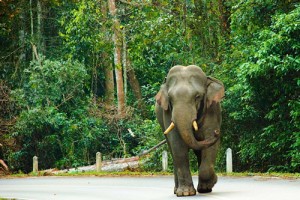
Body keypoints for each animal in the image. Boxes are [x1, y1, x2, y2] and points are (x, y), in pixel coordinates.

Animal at [156, 65, 224, 196]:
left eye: (197, 97)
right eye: (170, 98)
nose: (217, 132)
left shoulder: (212, 109)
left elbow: (211, 147)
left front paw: (211, 182)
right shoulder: (167, 114)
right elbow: (178, 145)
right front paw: (185, 193)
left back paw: (204, 188)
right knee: (173, 153)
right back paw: (176, 190)